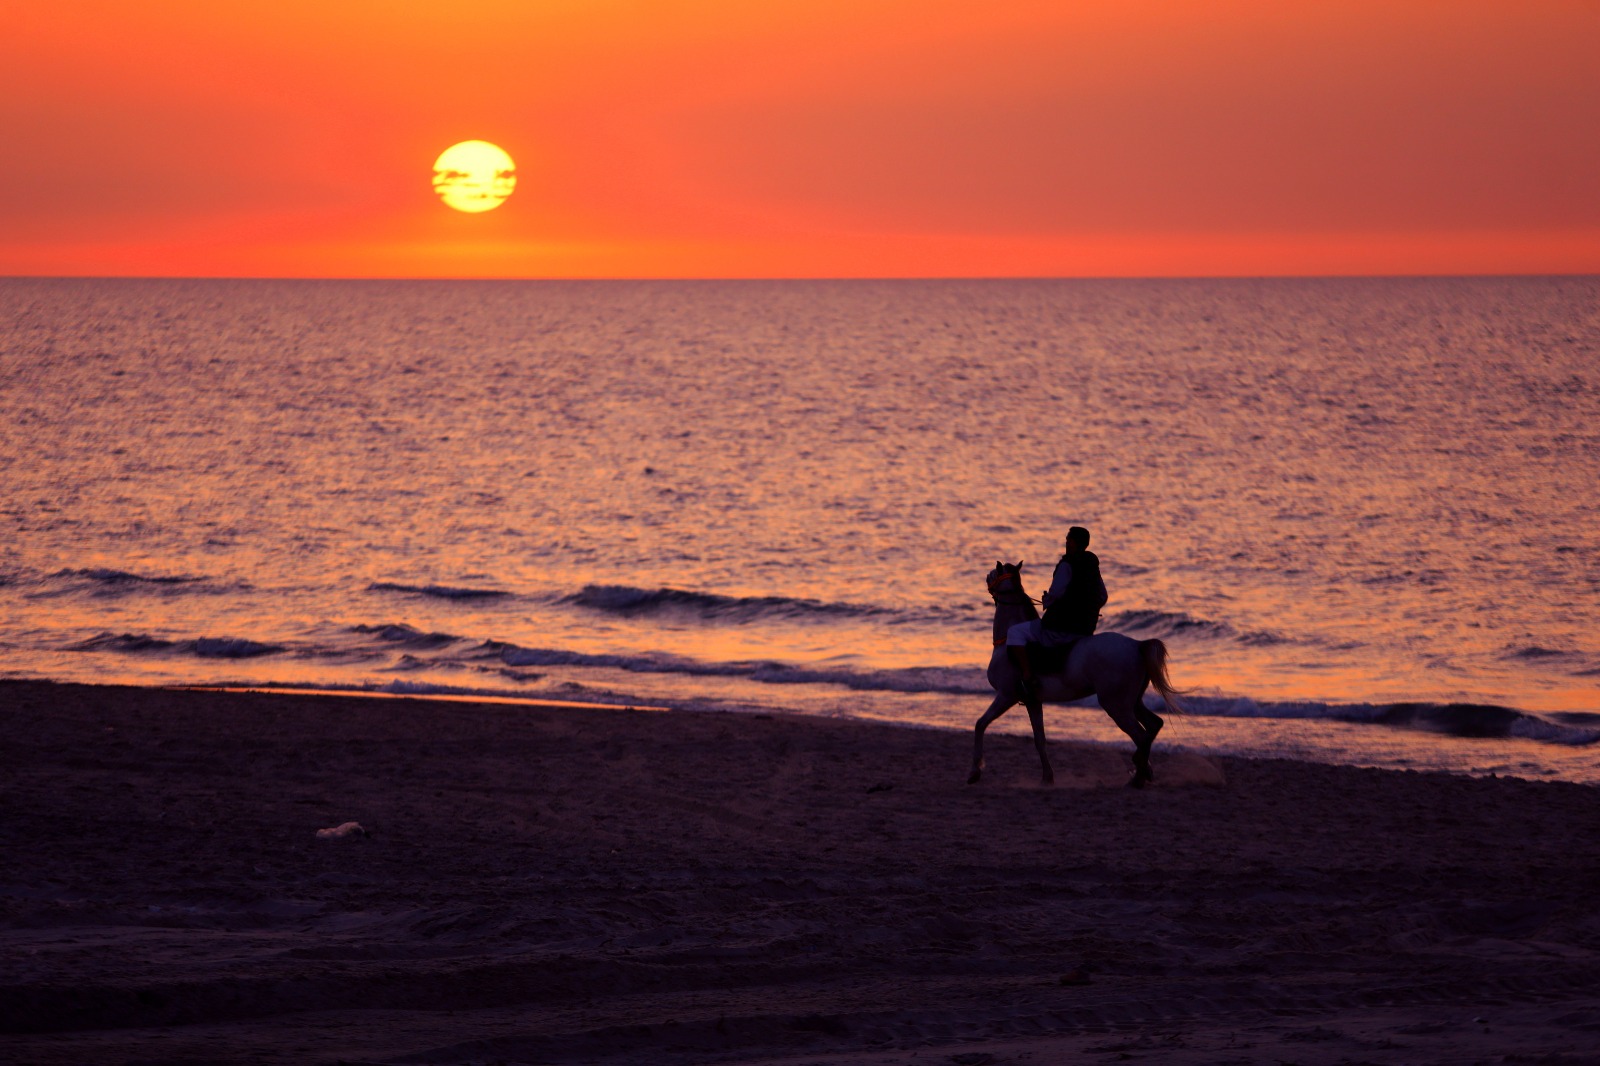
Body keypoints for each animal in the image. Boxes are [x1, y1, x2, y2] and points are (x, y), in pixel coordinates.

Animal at [966, 560, 1184, 784]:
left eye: (993, 574)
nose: (986, 579)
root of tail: (1137, 645)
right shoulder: (1033, 701)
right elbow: (1039, 739)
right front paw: (1047, 776)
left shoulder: (1006, 695)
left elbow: (980, 724)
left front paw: (975, 771)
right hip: (1132, 701)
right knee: (1153, 726)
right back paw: (1143, 770)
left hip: (1117, 705)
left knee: (1141, 736)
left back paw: (1138, 777)